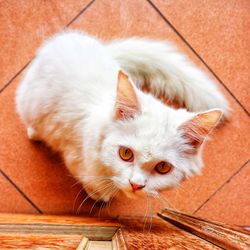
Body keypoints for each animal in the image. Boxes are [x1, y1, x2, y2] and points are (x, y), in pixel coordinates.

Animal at [16, 30, 229, 203]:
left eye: (163, 167)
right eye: (125, 154)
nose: (136, 184)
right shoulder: (77, 160)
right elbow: (94, 184)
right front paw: (99, 196)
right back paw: (34, 133)